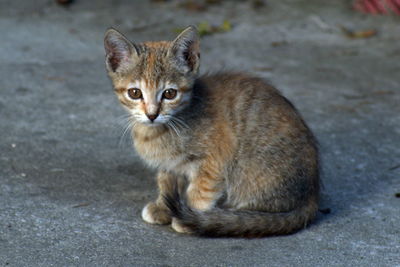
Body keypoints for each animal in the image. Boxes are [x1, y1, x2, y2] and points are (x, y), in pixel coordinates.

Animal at [103, 25, 318, 239]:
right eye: (135, 93)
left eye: (170, 94)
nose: (152, 114)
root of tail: (311, 195)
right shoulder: (169, 165)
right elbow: (166, 182)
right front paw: (164, 207)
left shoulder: (216, 159)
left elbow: (199, 191)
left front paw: (189, 218)